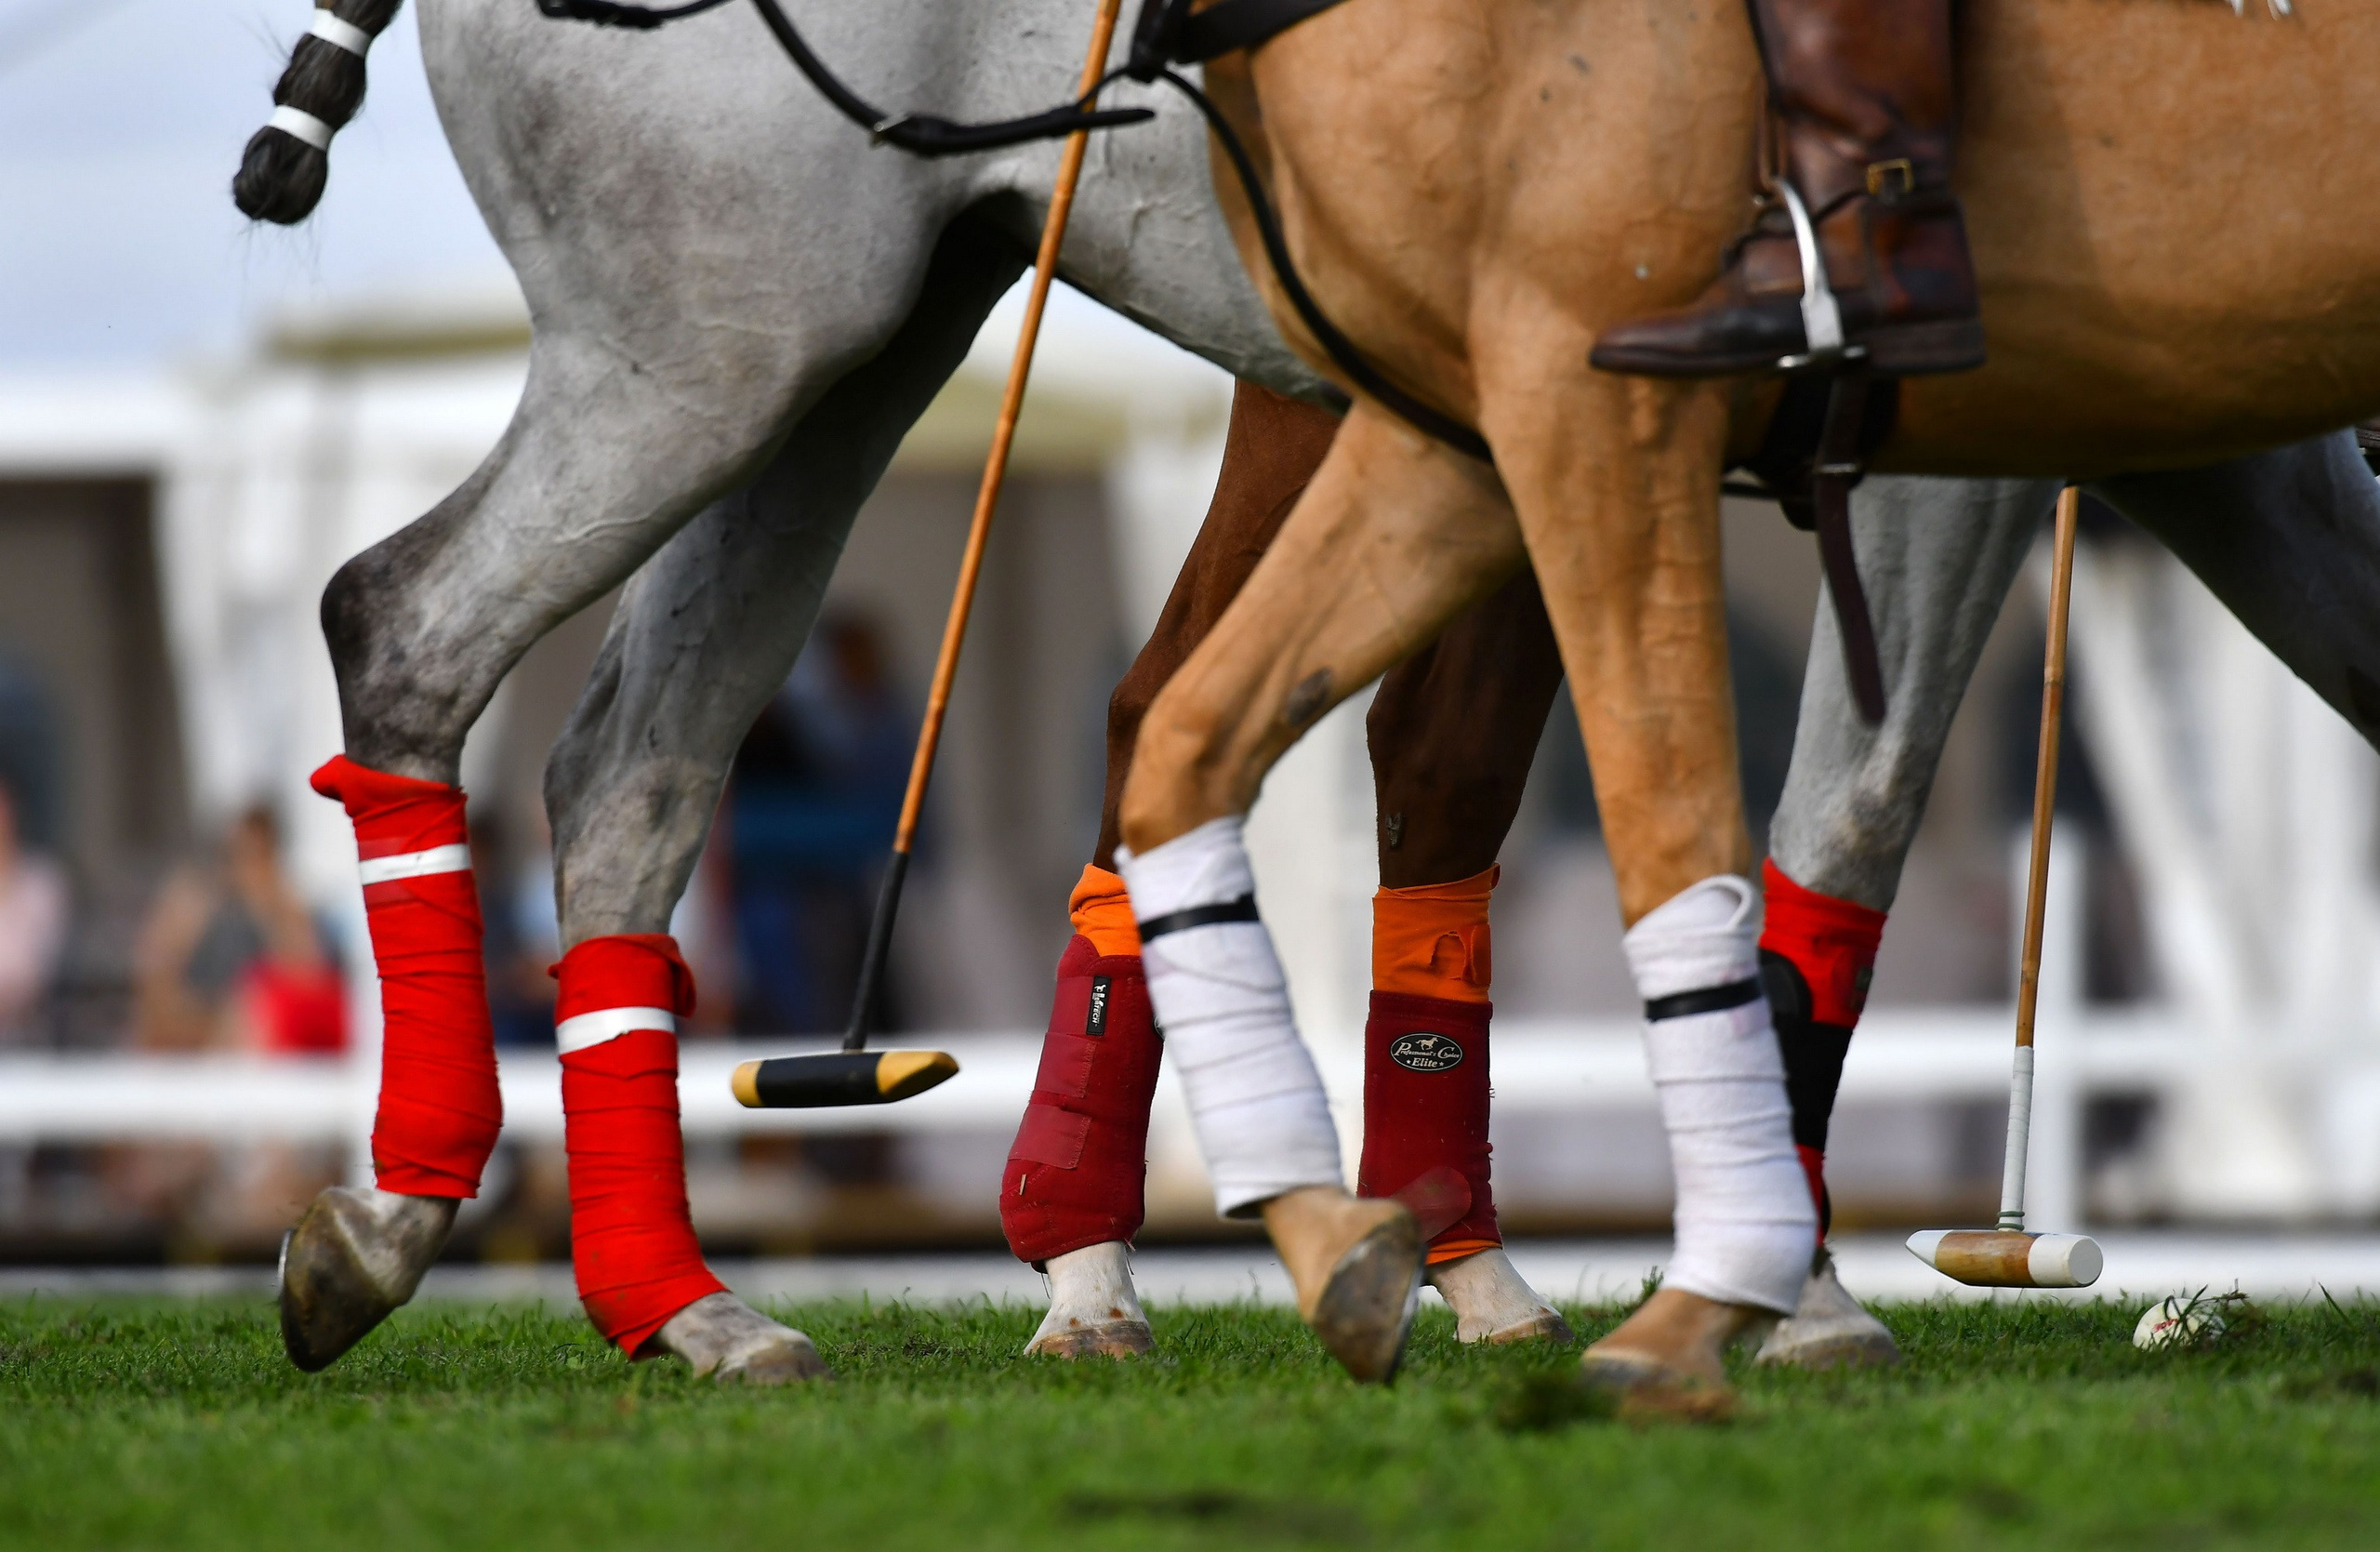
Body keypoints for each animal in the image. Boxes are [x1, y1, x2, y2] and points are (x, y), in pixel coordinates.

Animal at [1110, 0, 2380, 1398]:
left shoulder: (1596, 404)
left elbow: (1704, 830)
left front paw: (1717, 1301)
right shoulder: (1477, 426)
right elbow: (1197, 741)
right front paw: (1341, 1242)